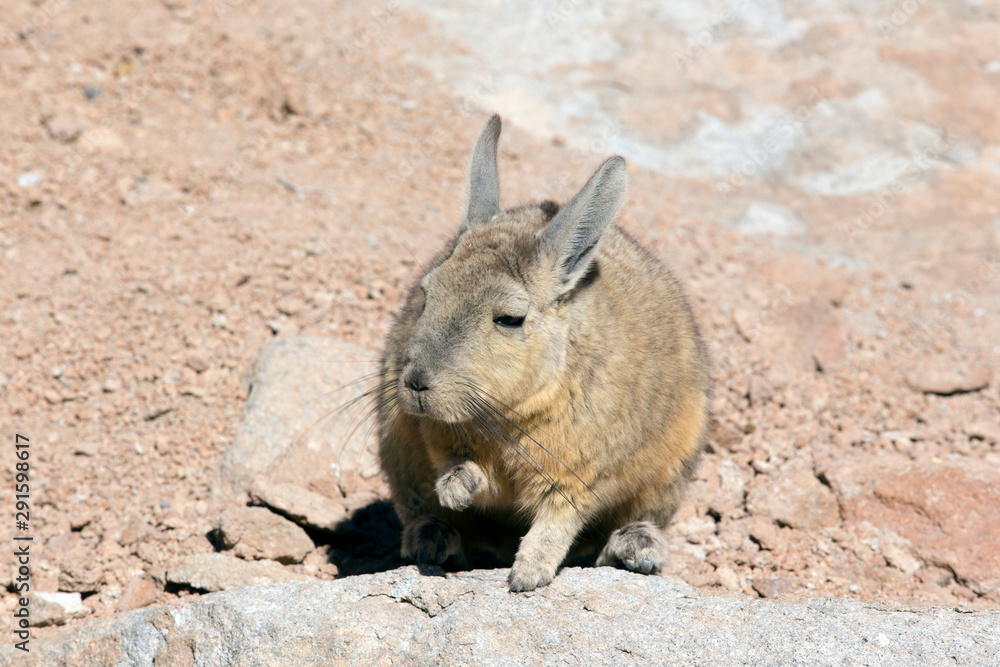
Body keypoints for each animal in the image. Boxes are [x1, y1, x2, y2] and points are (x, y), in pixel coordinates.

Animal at [376, 114, 710, 592]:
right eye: (426, 293)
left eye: (509, 319)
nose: (416, 383)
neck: (504, 416)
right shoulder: (438, 439)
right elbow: (460, 471)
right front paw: (459, 488)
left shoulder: (576, 477)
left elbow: (556, 521)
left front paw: (525, 578)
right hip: (396, 450)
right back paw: (435, 540)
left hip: (671, 470)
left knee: (638, 521)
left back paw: (634, 548)